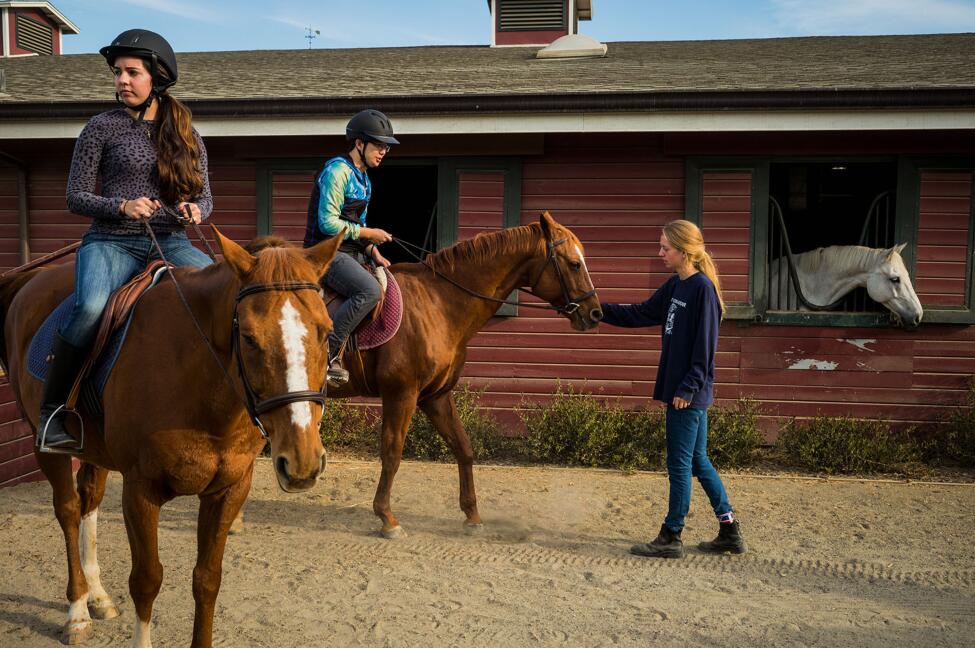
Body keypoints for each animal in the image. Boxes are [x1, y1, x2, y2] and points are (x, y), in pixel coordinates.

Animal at [0, 227, 344, 644]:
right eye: (248, 337)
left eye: (326, 332)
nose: (302, 461)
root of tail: (30, 281)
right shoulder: (140, 492)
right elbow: (146, 581)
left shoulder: (229, 490)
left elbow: (207, 580)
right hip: (45, 444)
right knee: (68, 511)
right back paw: (78, 611)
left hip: (96, 452)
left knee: (89, 502)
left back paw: (97, 596)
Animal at [332, 211, 604, 536]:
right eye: (574, 263)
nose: (595, 313)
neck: (436, 303)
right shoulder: (401, 393)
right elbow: (392, 453)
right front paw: (387, 518)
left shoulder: (435, 396)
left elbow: (463, 447)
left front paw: (472, 515)